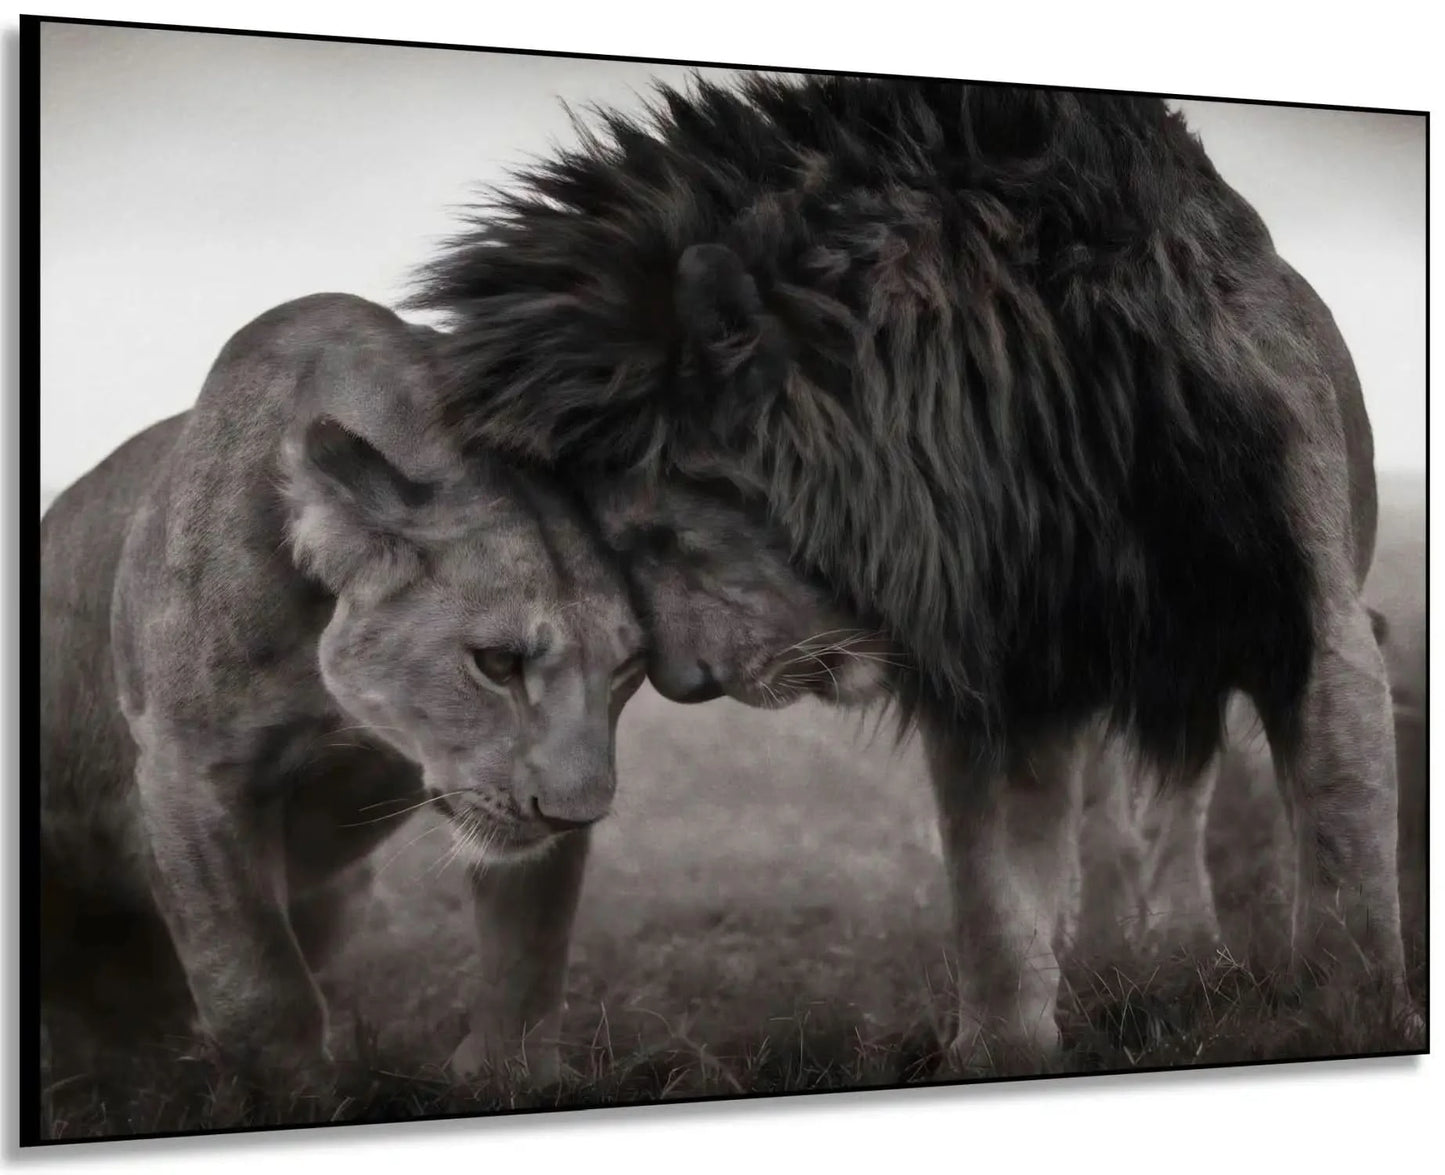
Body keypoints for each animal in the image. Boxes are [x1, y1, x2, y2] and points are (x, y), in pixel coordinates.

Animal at [39, 293, 646, 1087]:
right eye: (496, 662)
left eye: (627, 669)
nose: (577, 816)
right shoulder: (188, 765)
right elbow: (256, 981)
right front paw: (296, 1093)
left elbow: (530, 954)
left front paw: (507, 1075)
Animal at [408, 76, 1419, 1066]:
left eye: (653, 534)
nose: (682, 683)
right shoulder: (1006, 671)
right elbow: (996, 897)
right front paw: (1004, 1047)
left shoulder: (1310, 626)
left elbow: (1342, 854)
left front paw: (1346, 1020)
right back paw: (1107, 945)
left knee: (1182, 797)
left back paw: (1179, 943)